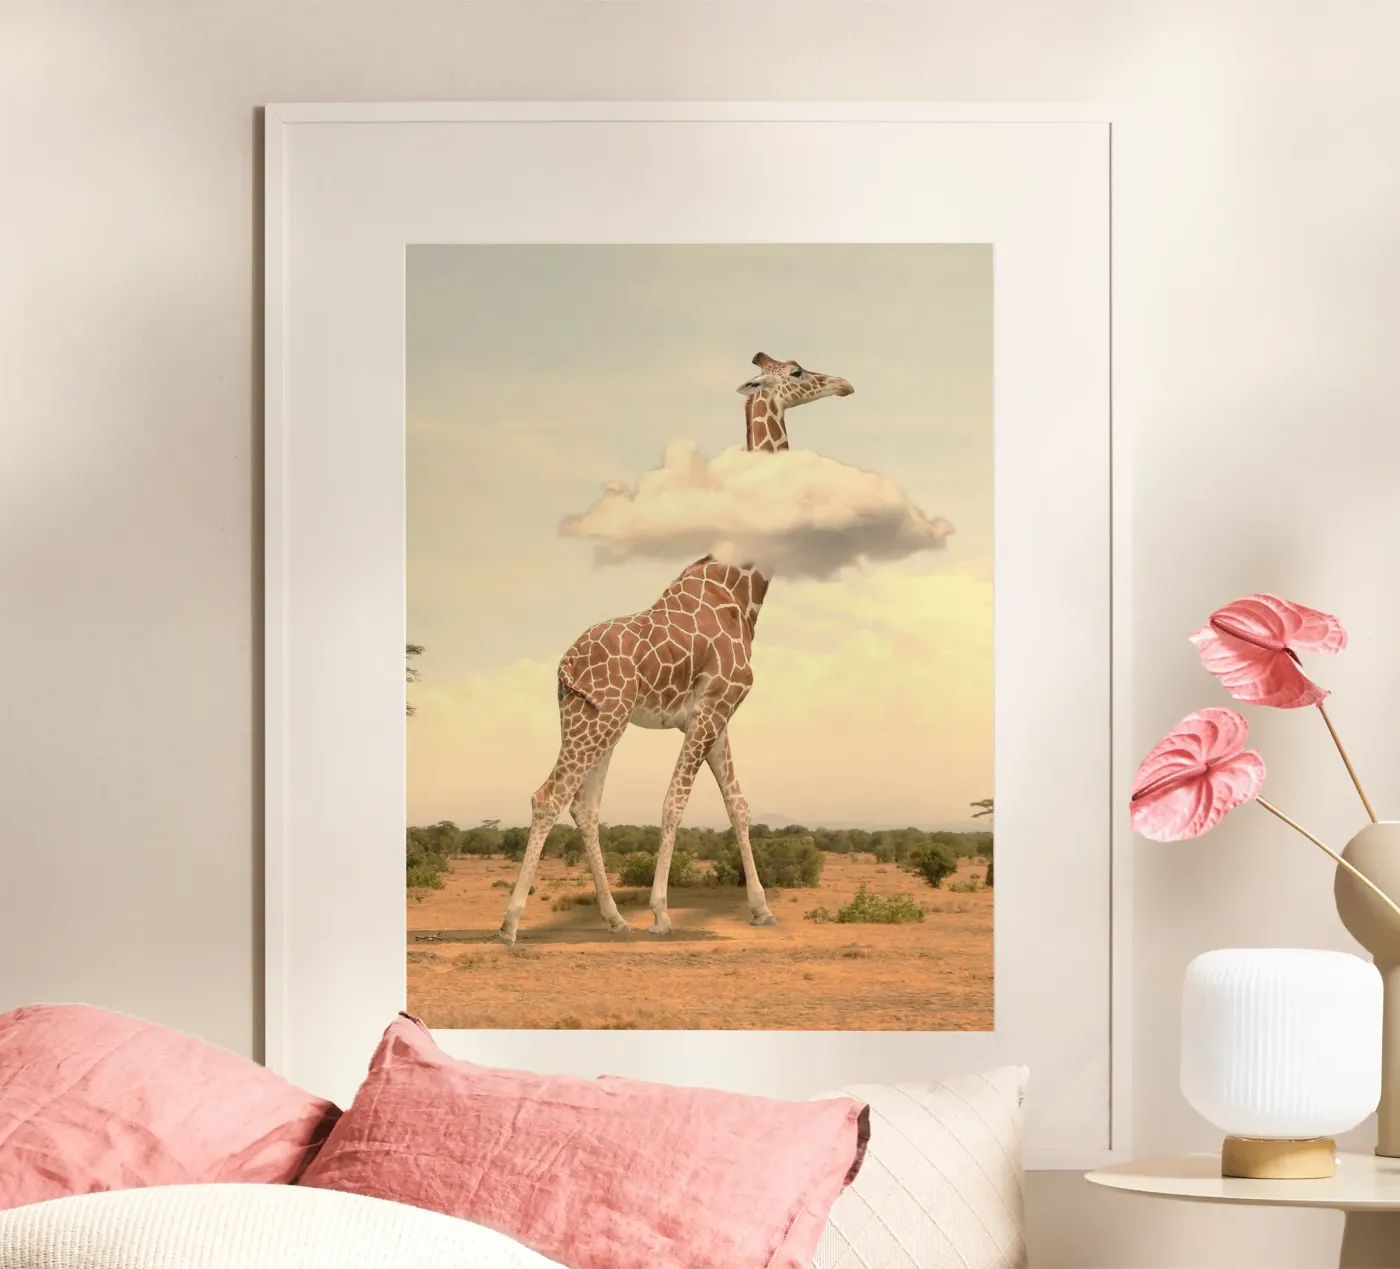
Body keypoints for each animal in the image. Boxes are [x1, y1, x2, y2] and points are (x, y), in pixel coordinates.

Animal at [498, 353, 854, 946]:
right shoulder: (712, 709)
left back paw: (615, 919)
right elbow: (674, 803)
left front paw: (761, 909)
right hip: (599, 721)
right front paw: (663, 913)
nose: (845, 384)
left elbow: (739, 804)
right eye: (799, 372)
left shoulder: (715, 715)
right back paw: (510, 924)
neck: (742, 590)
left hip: (593, 720)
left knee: (584, 806)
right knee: (549, 796)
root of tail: (563, 667)